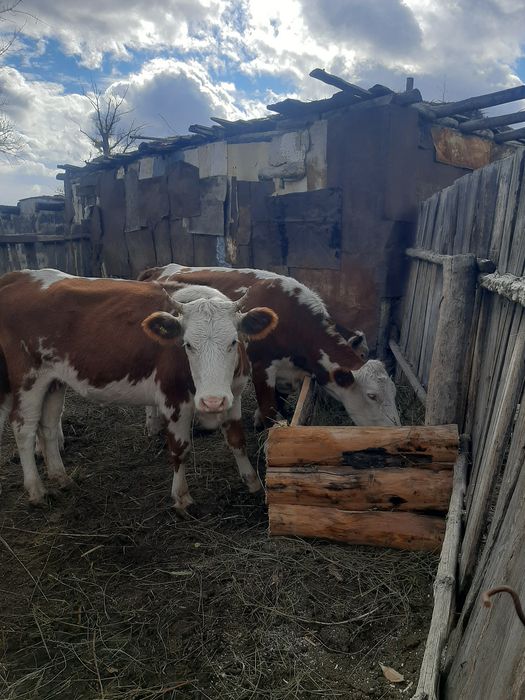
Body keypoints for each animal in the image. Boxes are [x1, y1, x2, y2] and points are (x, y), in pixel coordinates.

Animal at [0, 269, 278, 509]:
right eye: (187, 344)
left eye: (233, 341)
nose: (212, 401)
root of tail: (20, 275)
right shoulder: (173, 400)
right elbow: (179, 449)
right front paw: (181, 497)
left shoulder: (234, 394)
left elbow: (237, 440)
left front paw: (253, 482)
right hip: (28, 378)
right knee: (24, 429)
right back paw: (36, 490)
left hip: (54, 380)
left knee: (47, 426)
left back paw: (61, 477)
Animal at [138, 264, 401, 427]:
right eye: (372, 395)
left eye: (394, 392)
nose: (394, 428)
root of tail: (158, 269)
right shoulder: (262, 368)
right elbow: (268, 409)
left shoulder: (286, 374)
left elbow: (280, 403)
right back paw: (153, 423)